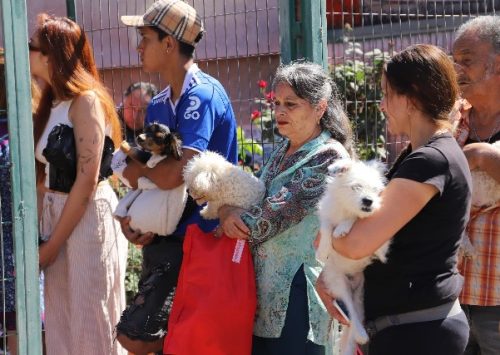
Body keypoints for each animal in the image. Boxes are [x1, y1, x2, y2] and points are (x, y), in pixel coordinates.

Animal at [316, 159, 386, 355]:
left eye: (375, 190)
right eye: (356, 187)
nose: (368, 201)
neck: (346, 209)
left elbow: (356, 219)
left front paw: (342, 228)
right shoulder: (326, 214)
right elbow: (326, 228)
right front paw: (323, 250)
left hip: (360, 295)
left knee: (354, 319)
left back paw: (360, 335)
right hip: (340, 283)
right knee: (350, 313)